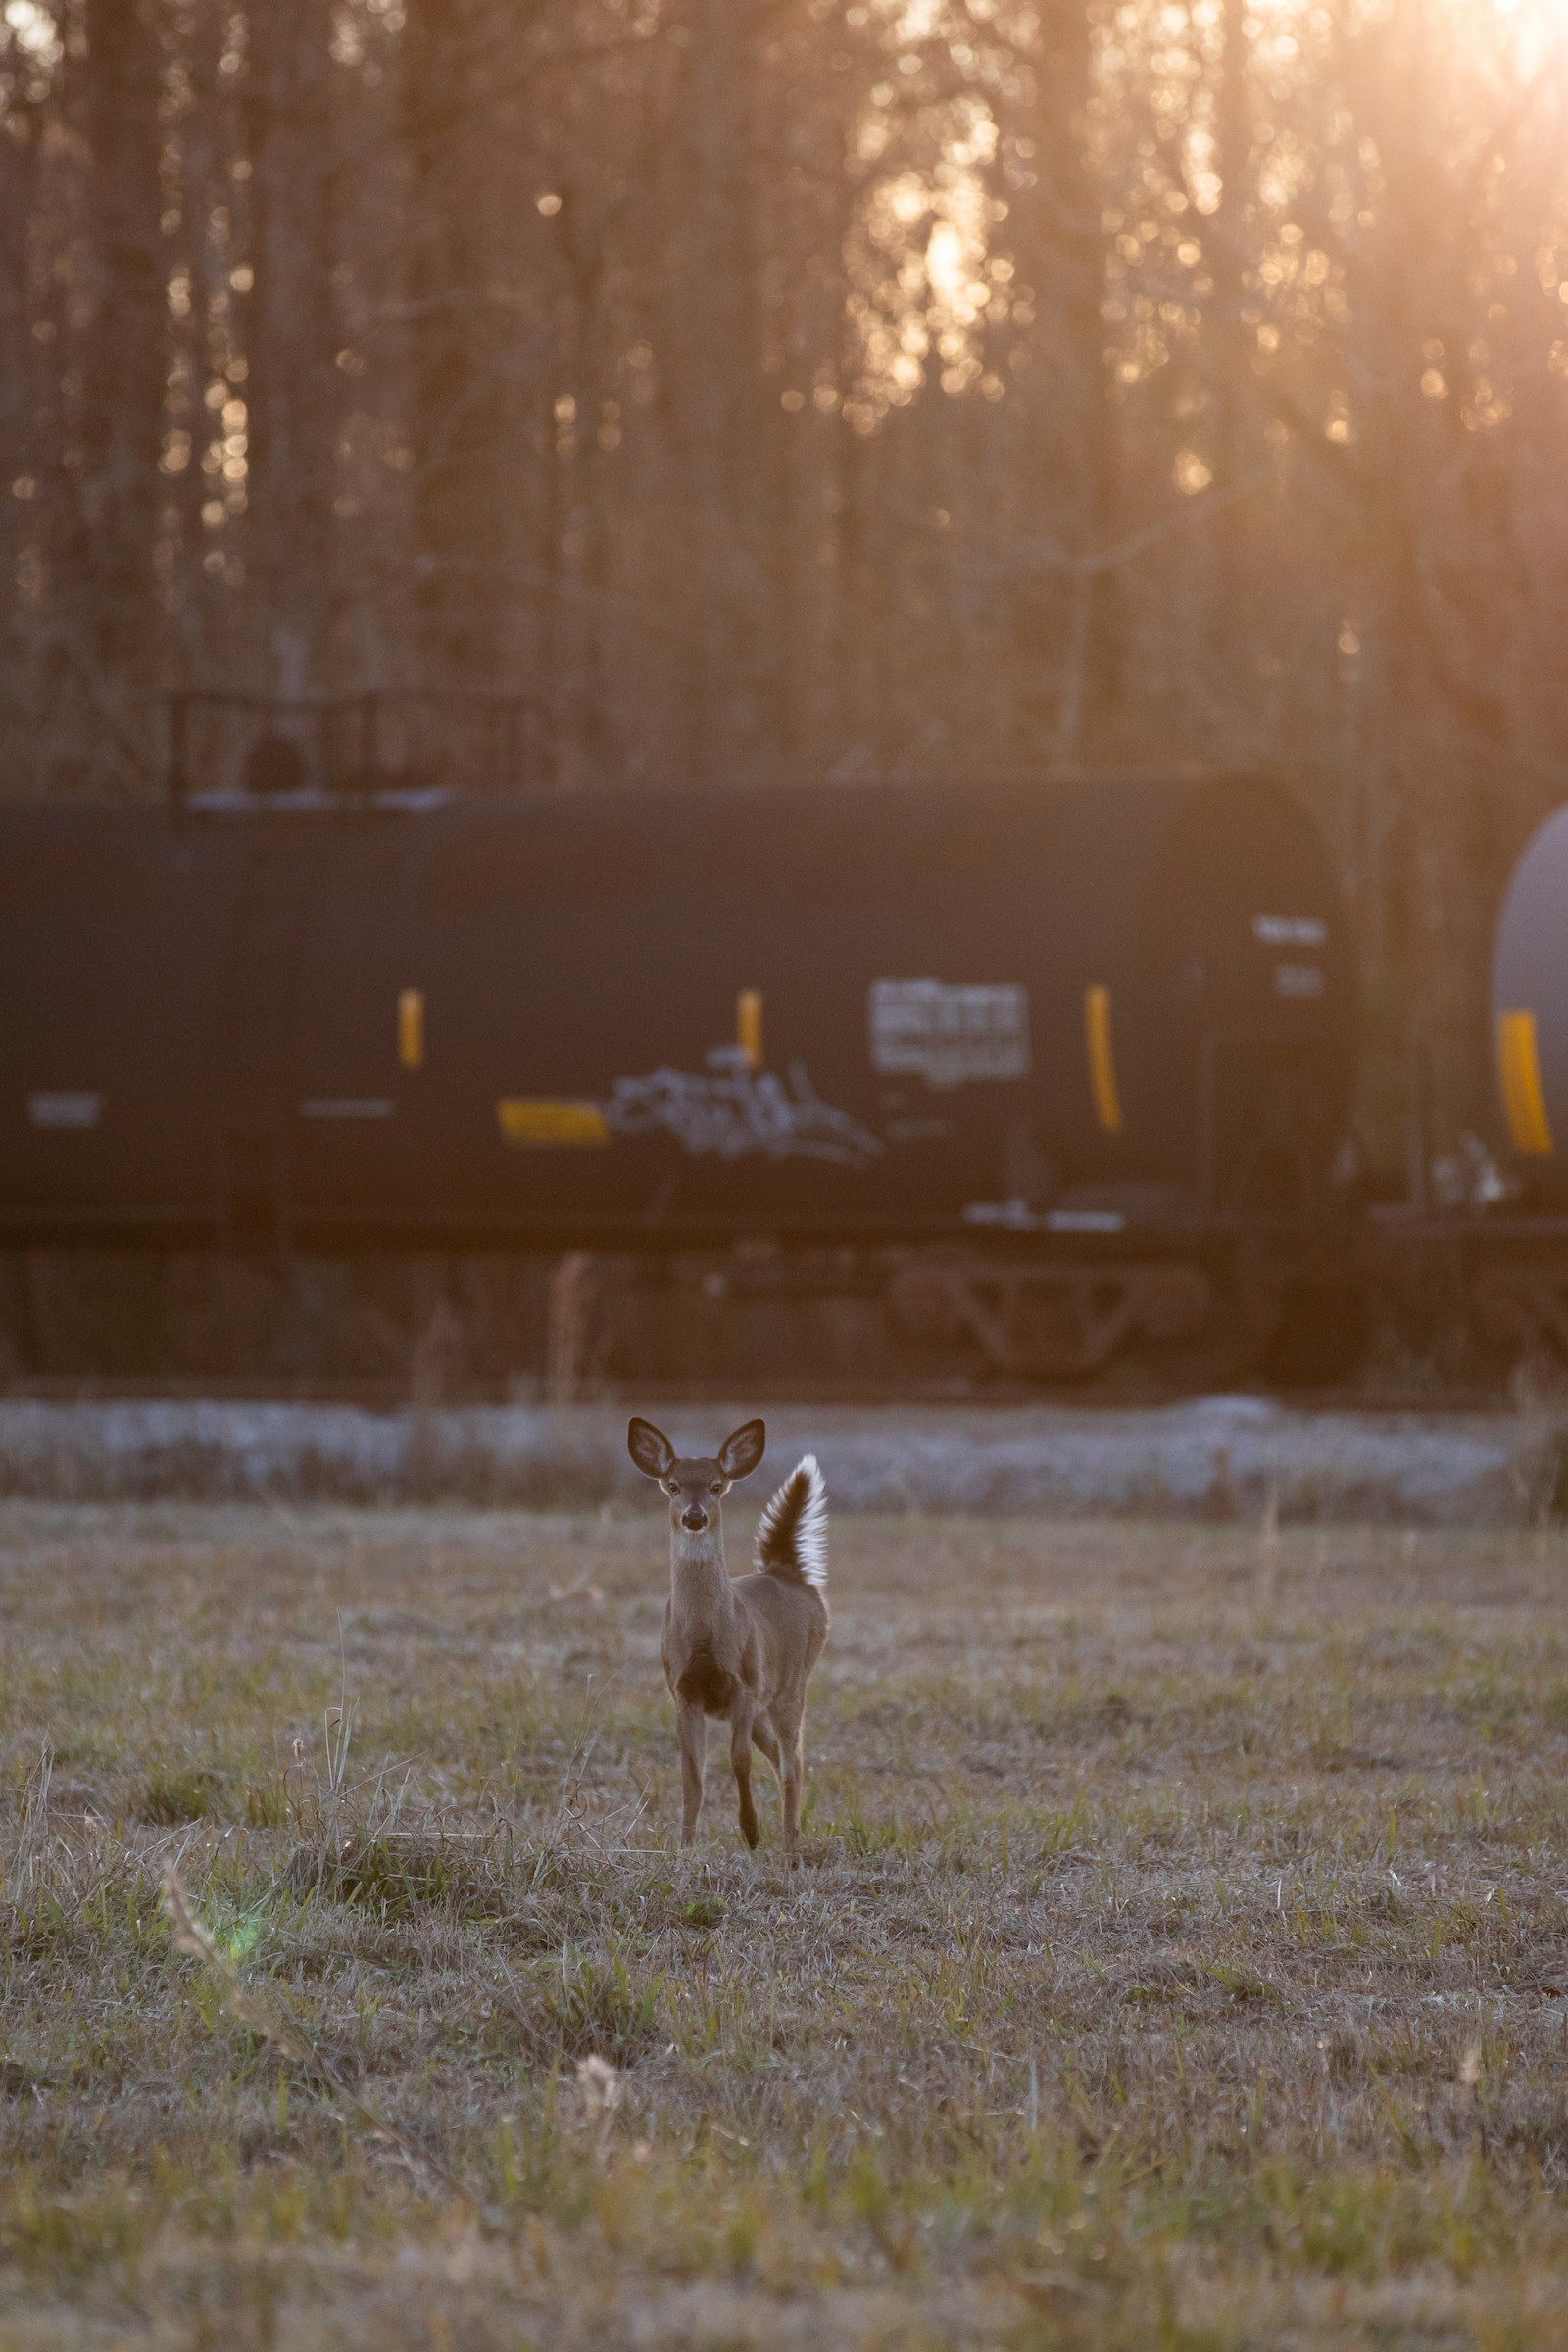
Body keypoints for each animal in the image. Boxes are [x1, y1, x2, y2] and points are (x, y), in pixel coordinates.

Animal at [627, 1416, 829, 1864]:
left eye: (717, 1485)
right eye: (673, 1485)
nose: (694, 1517)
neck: (705, 1637)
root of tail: (787, 1571)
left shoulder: (746, 1684)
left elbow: (738, 1760)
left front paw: (751, 1833)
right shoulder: (682, 1690)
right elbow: (692, 1774)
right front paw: (684, 1848)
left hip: (792, 1683)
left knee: (793, 1761)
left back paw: (791, 1849)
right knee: (780, 1757)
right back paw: (794, 1836)